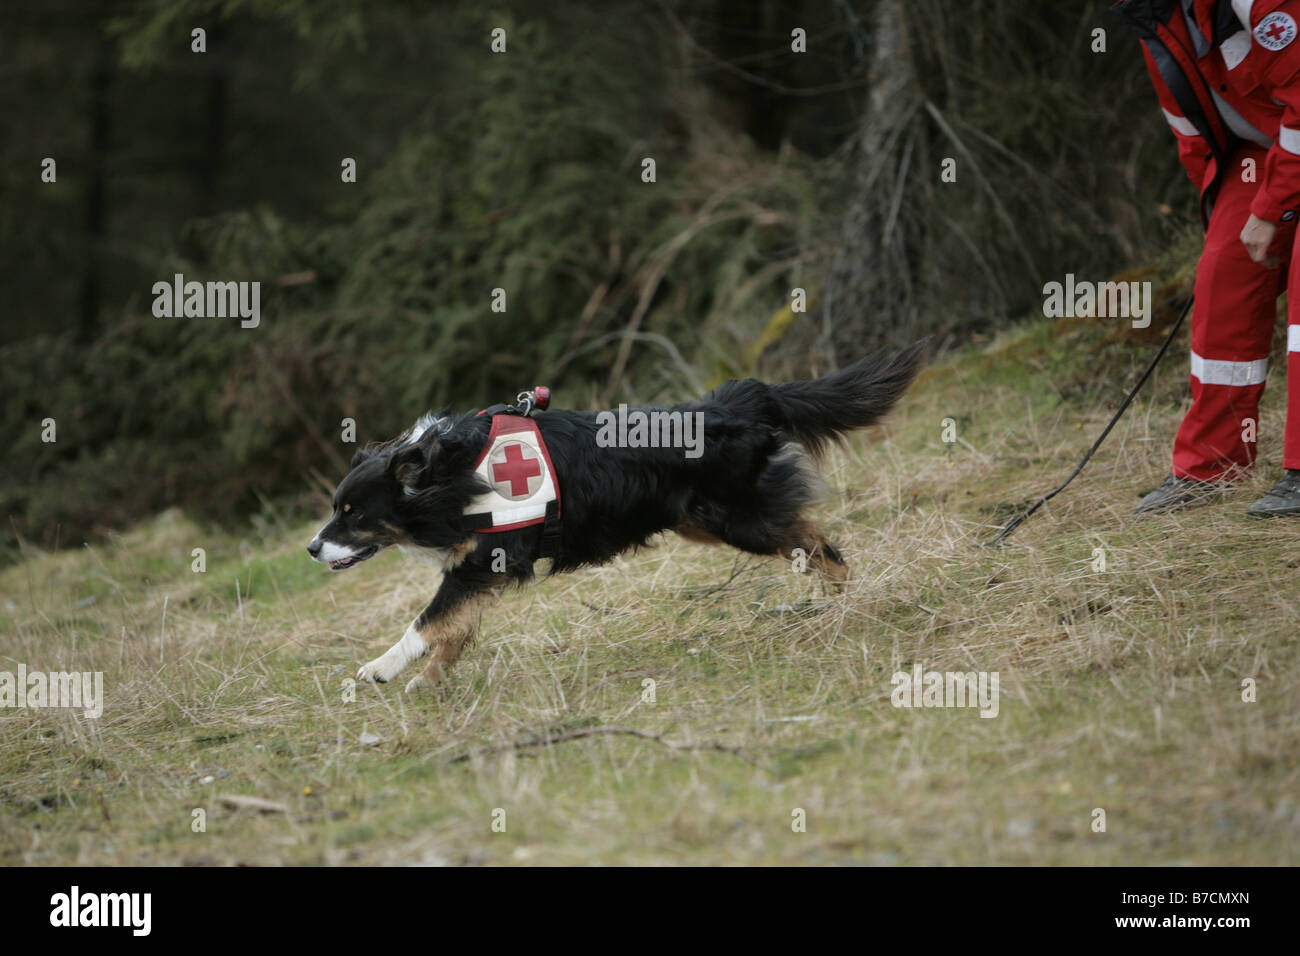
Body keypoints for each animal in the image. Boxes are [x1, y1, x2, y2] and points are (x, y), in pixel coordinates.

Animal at [310, 348, 925, 691]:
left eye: (353, 514)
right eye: (337, 510)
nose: (312, 549)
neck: (446, 474)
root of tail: (737, 398)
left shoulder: (485, 560)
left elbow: (428, 621)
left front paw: (382, 669)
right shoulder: (481, 568)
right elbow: (453, 631)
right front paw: (431, 681)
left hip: (741, 520)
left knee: (822, 547)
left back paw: (849, 603)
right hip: (703, 522)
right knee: (812, 542)